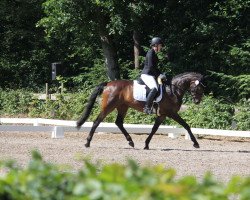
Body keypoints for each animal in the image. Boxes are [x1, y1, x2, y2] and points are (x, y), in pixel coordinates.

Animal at [76, 72, 205, 149]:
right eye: (199, 88)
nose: (197, 101)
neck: (172, 91)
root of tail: (108, 84)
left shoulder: (162, 115)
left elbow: (154, 129)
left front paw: (146, 144)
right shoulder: (172, 113)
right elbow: (186, 125)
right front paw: (196, 143)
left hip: (123, 107)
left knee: (119, 122)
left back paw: (131, 142)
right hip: (109, 106)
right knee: (97, 121)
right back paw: (87, 142)